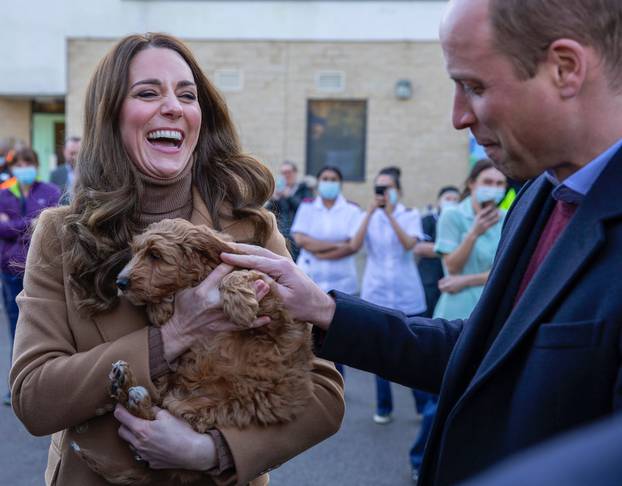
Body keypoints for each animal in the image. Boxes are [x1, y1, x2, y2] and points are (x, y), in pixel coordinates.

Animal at [73, 218, 314, 484]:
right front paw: (162, 305)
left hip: (200, 410)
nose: (121, 283)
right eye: (135, 252)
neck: (194, 279)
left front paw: (240, 305)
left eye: (155, 255)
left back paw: (130, 390)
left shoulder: (276, 313)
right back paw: (124, 384)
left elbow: (239, 275)